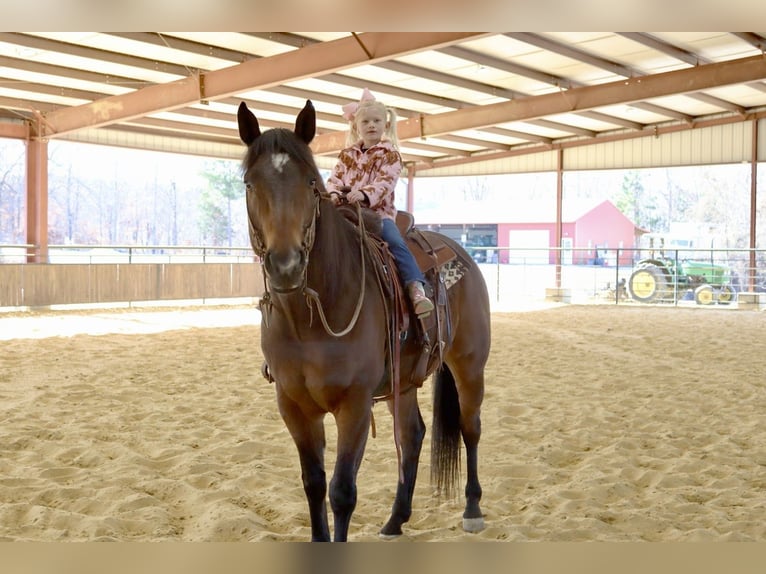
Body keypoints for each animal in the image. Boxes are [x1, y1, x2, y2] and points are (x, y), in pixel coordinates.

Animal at [237, 99, 491, 542]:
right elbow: (314, 484)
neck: (308, 322)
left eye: (311, 182)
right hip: (402, 382)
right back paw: (395, 520)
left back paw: (472, 508)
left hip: (469, 364)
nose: (286, 265)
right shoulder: (294, 405)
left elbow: (342, 492)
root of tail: (460, 251)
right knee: (412, 434)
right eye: (251, 184)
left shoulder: (354, 404)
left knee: (469, 425)